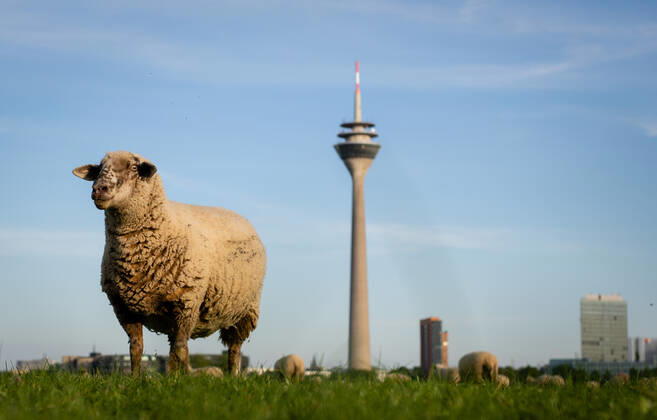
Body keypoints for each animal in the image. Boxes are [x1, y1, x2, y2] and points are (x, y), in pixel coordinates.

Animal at [73, 151, 266, 376]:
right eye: (100, 168)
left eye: (133, 167)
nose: (99, 189)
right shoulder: (124, 308)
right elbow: (136, 347)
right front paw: (135, 378)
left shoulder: (187, 302)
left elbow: (179, 348)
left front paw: (173, 379)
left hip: (245, 311)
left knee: (234, 349)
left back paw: (232, 375)